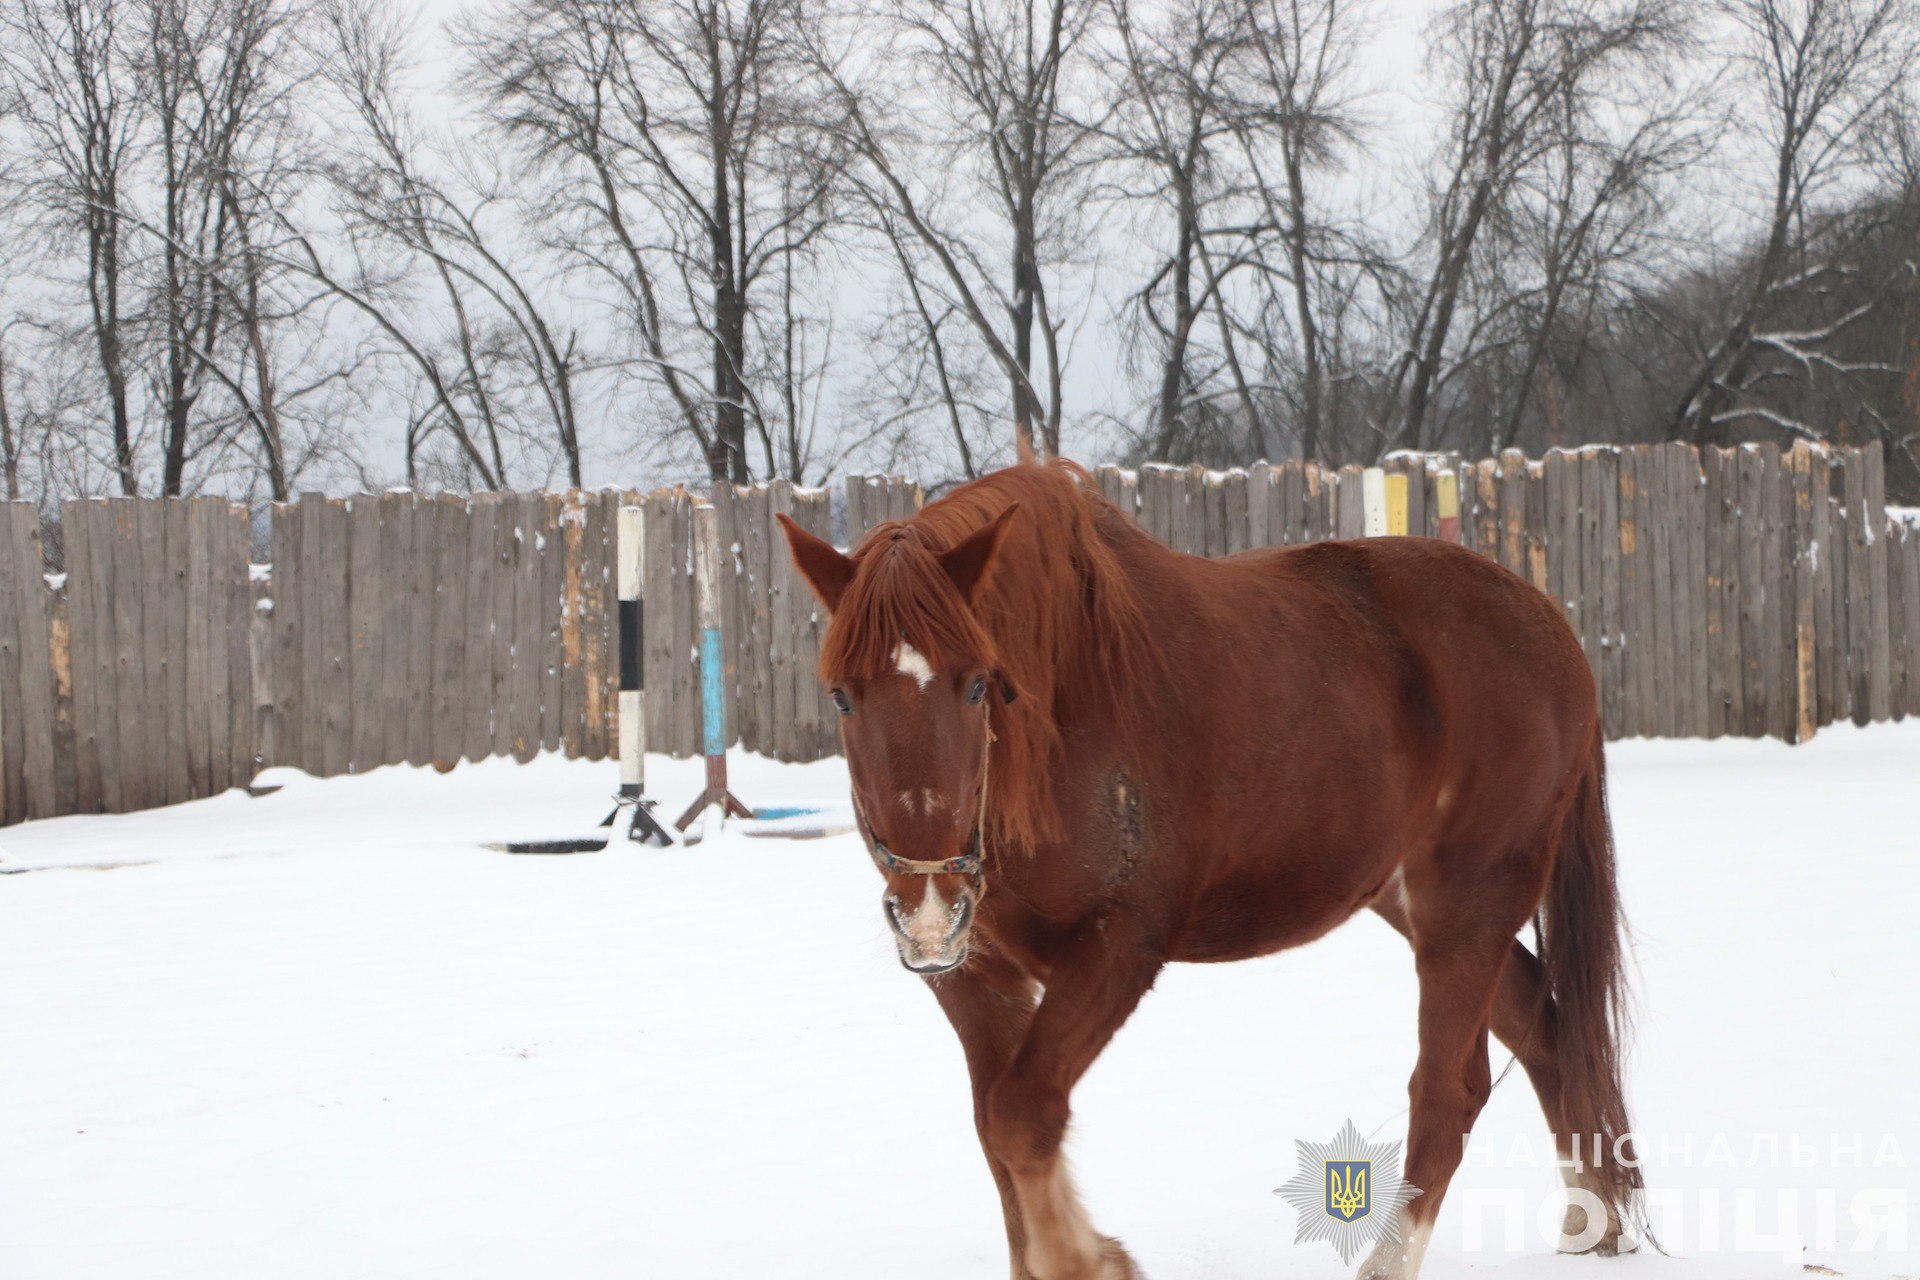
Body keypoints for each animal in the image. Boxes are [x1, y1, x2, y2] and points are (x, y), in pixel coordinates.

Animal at [771, 462, 1643, 1280]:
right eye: (842, 696)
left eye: (978, 684)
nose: (928, 910)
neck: (1059, 720)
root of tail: (1550, 626)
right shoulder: (975, 973)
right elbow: (998, 1130)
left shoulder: (1117, 950)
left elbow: (1022, 1114)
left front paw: (1092, 1259)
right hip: (1418, 901)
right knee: (1544, 1027)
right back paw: (1594, 1221)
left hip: (1470, 899)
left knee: (1446, 1093)